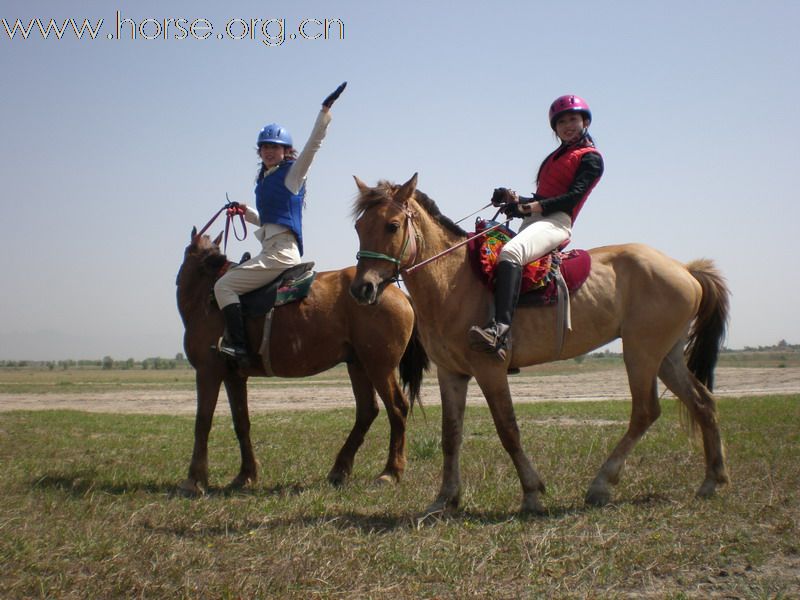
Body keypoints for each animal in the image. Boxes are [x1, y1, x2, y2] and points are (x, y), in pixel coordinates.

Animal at [173, 227, 424, 494]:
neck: (206, 295)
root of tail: (396, 292)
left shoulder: (207, 371)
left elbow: (202, 421)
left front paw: (194, 479)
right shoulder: (234, 377)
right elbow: (241, 422)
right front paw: (245, 475)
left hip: (379, 367)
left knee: (397, 408)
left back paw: (391, 471)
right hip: (358, 365)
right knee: (367, 411)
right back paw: (340, 470)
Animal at [350, 175, 732, 516]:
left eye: (392, 226)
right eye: (359, 226)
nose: (362, 289)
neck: (452, 279)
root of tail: (684, 268)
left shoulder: (490, 369)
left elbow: (508, 430)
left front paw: (531, 494)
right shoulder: (451, 373)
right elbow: (451, 435)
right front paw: (445, 499)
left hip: (641, 353)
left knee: (646, 411)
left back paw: (601, 485)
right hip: (666, 357)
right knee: (702, 403)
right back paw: (712, 480)